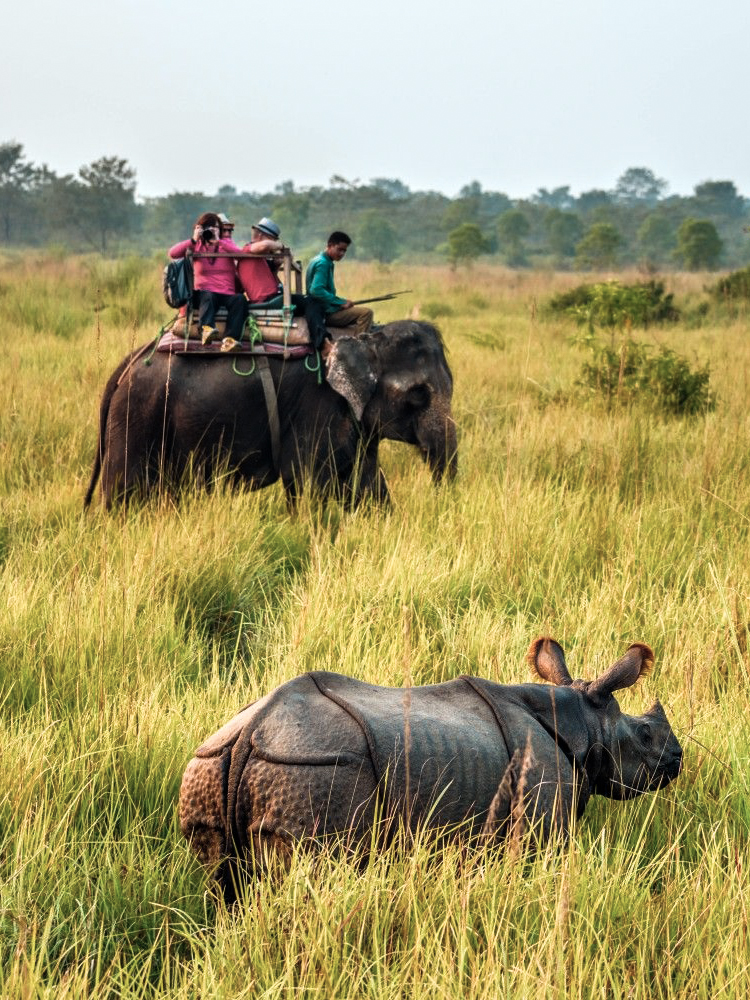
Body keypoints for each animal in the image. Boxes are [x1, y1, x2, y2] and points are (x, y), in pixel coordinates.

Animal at [83, 320, 458, 508]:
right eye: (418, 394)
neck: (364, 339)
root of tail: (126, 364)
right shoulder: (317, 406)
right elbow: (307, 482)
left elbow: (366, 483)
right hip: (138, 414)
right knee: (124, 491)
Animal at [179, 636, 684, 896]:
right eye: (645, 735)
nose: (679, 758)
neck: (584, 723)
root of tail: (249, 734)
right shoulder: (540, 817)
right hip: (315, 769)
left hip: (212, 765)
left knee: (221, 883)